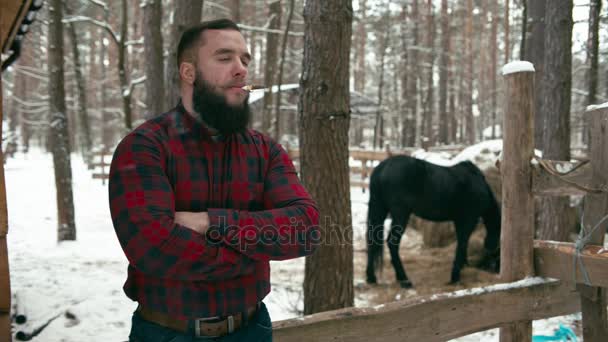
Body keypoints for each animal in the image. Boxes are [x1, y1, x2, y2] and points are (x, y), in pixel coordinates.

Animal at [366, 156, 498, 288]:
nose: (493, 268)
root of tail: (382, 167)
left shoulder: (459, 221)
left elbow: (462, 242)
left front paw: (464, 267)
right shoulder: (469, 219)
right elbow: (462, 243)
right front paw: (455, 277)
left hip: (380, 210)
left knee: (373, 240)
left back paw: (371, 278)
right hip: (400, 214)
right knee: (392, 243)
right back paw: (404, 280)